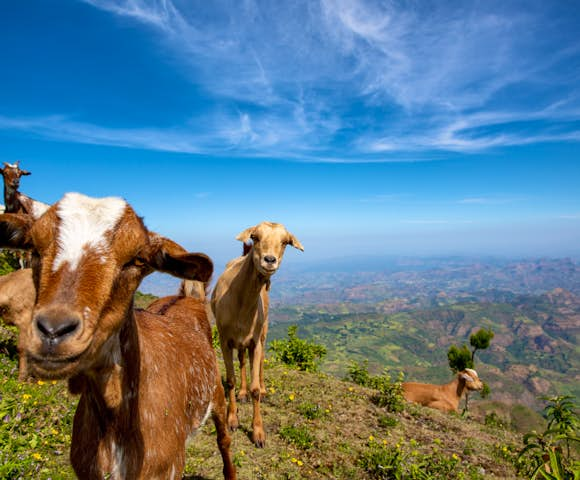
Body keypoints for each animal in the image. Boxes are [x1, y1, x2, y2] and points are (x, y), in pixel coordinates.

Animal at [0, 192, 236, 480]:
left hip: (216, 392)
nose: (53, 331)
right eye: (34, 248)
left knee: (224, 439)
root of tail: (187, 298)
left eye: (137, 259)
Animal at [212, 221, 304, 446]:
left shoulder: (255, 341)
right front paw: (232, 420)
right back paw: (242, 392)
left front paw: (258, 433)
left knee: (260, 361)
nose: (269, 260)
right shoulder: (224, 339)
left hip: (263, 331)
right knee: (242, 360)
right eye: (255, 237)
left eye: (285, 242)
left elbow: (254, 385)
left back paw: (262, 389)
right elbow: (230, 381)